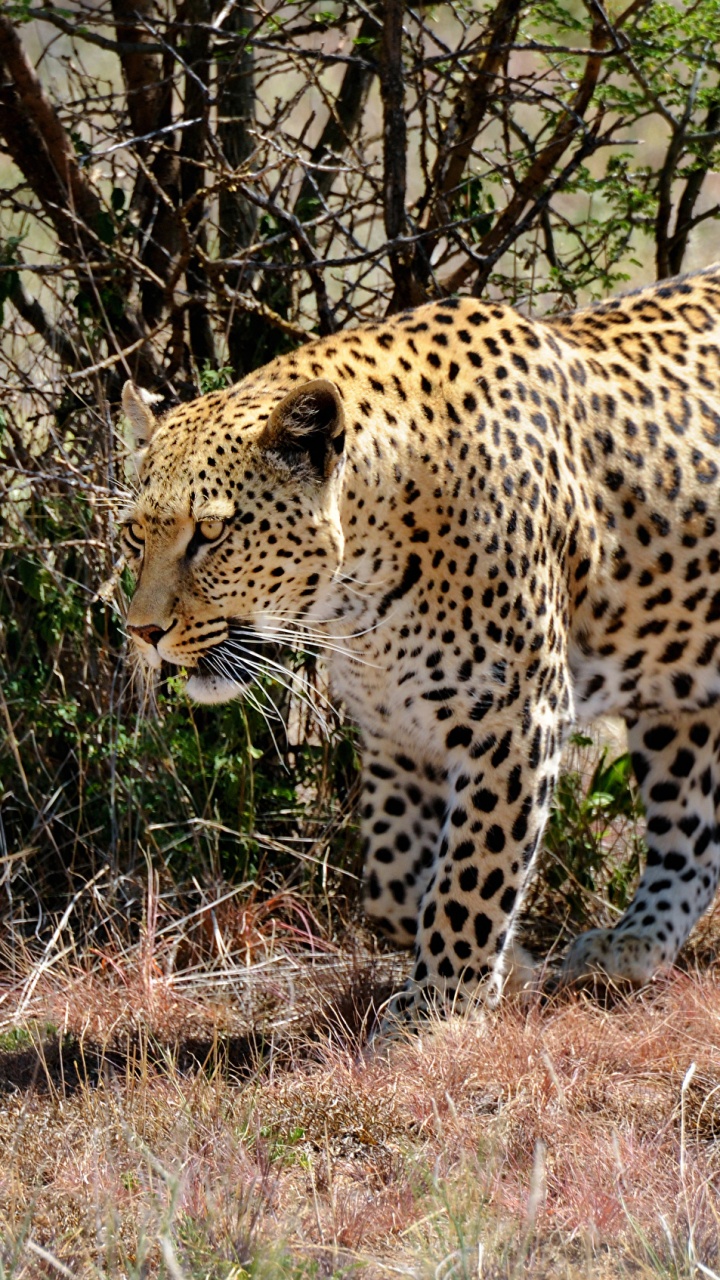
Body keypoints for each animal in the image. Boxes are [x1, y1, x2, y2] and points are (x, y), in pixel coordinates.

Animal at [121, 262, 720, 1025]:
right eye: (135, 535)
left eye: (212, 532)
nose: (143, 632)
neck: (356, 597)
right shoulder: (395, 730)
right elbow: (393, 881)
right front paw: (510, 973)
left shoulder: (514, 716)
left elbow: (472, 871)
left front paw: (438, 1013)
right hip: (679, 683)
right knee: (690, 825)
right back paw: (632, 944)